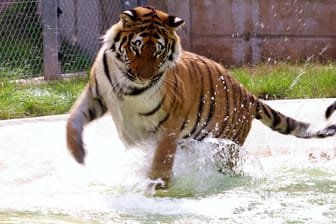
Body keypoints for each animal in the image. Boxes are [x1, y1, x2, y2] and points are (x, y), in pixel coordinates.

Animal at [65, 6, 336, 189]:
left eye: (159, 51)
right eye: (136, 46)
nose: (144, 76)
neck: (129, 87)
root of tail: (248, 94)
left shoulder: (168, 125)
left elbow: (161, 161)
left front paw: (155, 187)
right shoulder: (96, 95)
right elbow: (73, 120)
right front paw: (77, 153)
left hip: (225, 147)